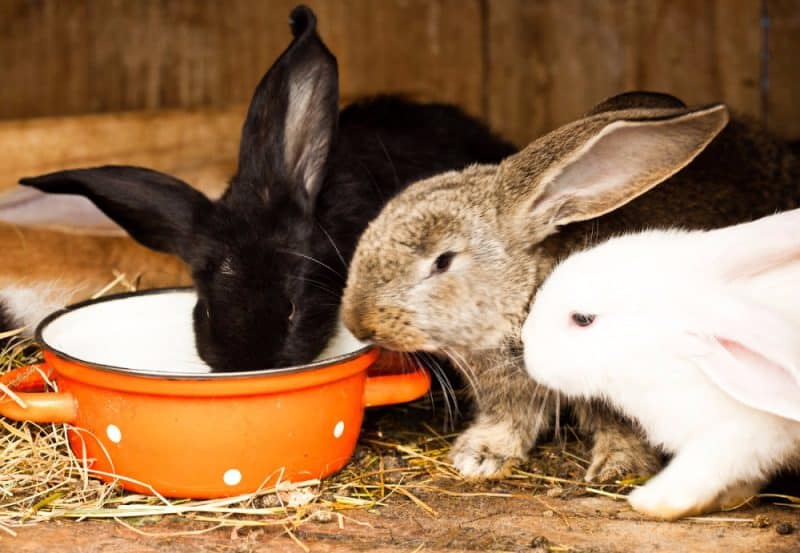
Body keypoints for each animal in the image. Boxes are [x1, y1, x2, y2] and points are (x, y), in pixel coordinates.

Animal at [342, 90, 800, 484]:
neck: (526, 297)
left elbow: (623, 430)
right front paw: (480, 455)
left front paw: (618, 467)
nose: (358, 322)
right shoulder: (505, 393)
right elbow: (508, 420)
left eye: (443, 261)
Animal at [522, 209, 800, 519]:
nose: (524, 338)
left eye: (583, 319)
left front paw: (650, 501)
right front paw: (733, 498)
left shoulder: (750, 433)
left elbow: (704, 467)